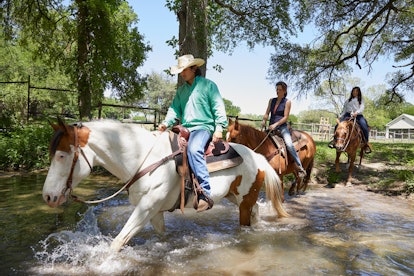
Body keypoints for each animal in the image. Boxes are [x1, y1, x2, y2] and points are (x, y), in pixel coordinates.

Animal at [42, 118, 288, 252]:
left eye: (62, 155)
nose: (48, 197)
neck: (142, 158)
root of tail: (257, 157)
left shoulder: (145, 208)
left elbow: (118, 242)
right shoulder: (154, 212)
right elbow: (162, 237)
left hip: (245, 200)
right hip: (237, 197)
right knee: (255, 213)